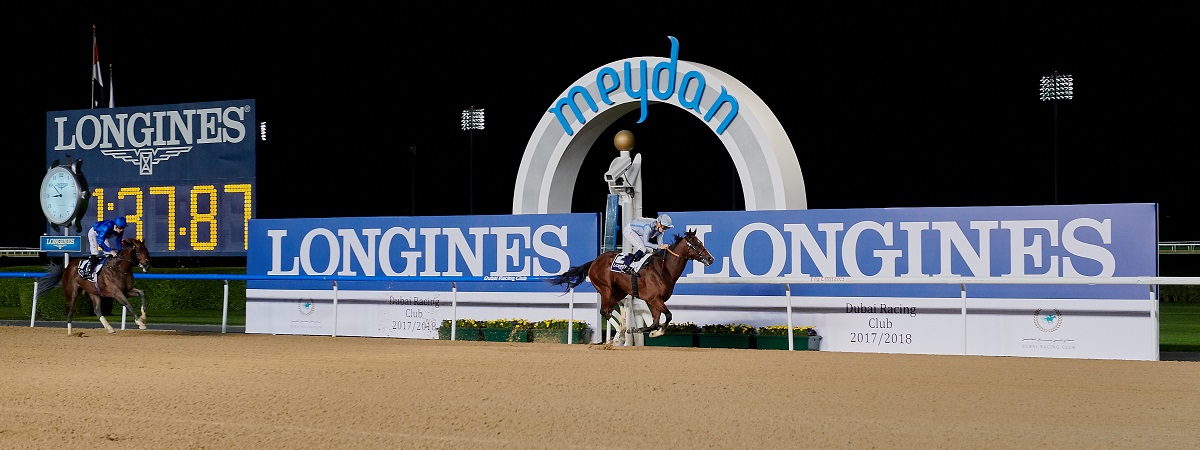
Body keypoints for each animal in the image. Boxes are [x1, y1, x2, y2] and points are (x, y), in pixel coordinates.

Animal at [549, 229, 710, 345]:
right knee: (604, 311)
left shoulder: (657, 301)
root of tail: (594, 261)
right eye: (695, 244)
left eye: (701, 242)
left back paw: (621, 331)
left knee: (610, 310)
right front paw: (639, 330)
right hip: (606, 289)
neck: (664, 269)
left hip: (618, 292)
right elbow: (668, 315)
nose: (710, 258)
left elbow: (655, 323)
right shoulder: (654, 299)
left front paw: (648, 332)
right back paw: (620, 332)